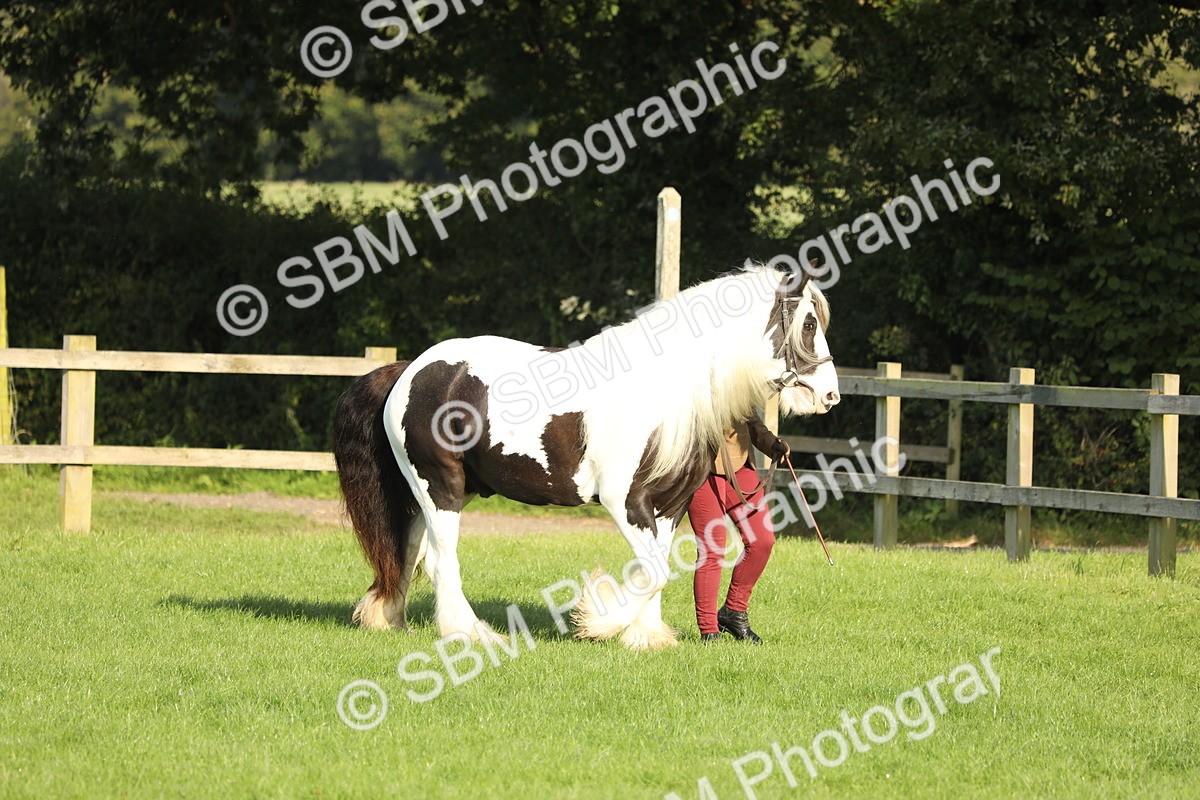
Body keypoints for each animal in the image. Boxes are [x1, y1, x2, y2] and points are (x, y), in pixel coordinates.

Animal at [332, 264, 839, 650]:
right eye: (808, 324)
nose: (829, 395)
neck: (662, 388)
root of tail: (410, 370)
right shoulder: (625, 502)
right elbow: (654, 572)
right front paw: (598, 619)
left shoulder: (670, 508)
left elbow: (659, 569)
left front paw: (645, 637)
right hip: (442, 487)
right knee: (441, 563)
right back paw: (472, 634)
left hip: (437, 492)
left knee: (409, 551)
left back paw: (387, 618)